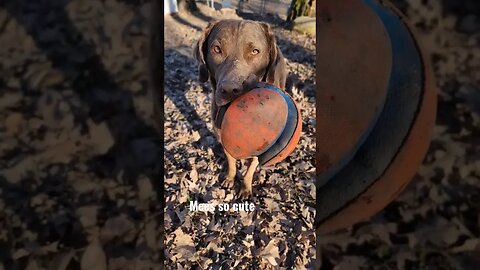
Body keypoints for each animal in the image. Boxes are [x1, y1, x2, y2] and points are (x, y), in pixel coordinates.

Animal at [192, 17, 288, 197]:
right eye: (217, 49)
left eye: (255, 51)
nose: (230, 89)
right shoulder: (223, 137)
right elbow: (230, 161)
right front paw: (230, 178)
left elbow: (250, 168)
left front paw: (245, 187)